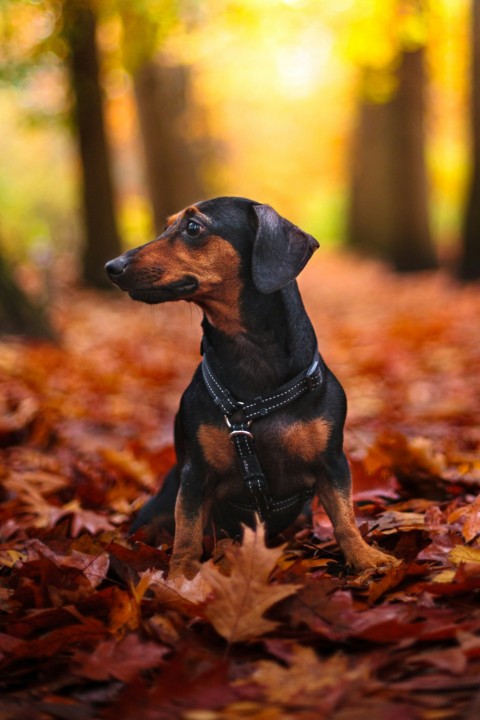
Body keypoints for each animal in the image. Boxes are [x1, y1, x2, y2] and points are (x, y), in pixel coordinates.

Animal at [107, 197, 396, 580]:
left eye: (193, 228)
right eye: (166, 226)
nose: (112, 266)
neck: (252, 360)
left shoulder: (333, 463)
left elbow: (344, 517)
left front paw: (365, 558)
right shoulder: (195, 475)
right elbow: (187, 531)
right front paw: (180, 577)